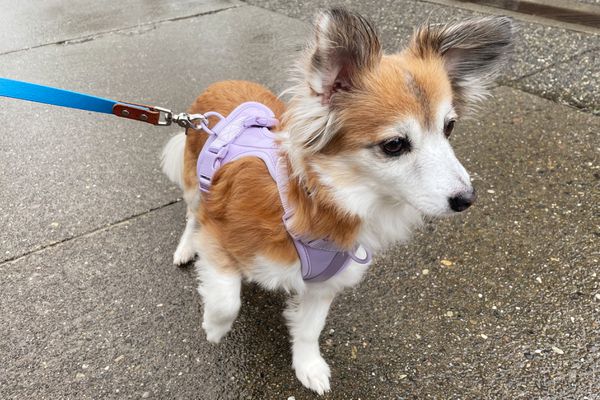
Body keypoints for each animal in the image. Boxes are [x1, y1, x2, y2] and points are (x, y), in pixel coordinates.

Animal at [161, 7, 516, 396]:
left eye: (448, 127)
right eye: (394, 145)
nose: (467, 199)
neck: (317, 199)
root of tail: (220, 85)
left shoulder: (323, 283)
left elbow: (309, 328)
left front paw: (308, 367)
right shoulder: (220, 239)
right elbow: (227, 299)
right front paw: (214, 327)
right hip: (195, 186)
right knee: (192, 216)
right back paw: (185, 248)